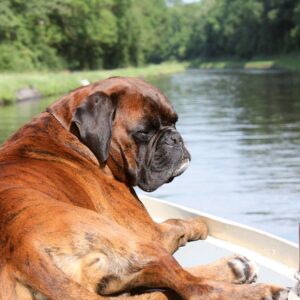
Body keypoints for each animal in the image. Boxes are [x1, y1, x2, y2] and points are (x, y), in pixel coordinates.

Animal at [0, 78, 288, 300]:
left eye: (174, 122)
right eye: (144, 132)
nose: (175, 137)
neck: (74, 136)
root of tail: (23, 252)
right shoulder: (152, 232)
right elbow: (178, 223)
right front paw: (197, 224)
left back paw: (236, 268)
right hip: (142, 244)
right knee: (194, 288)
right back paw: (257, 287)